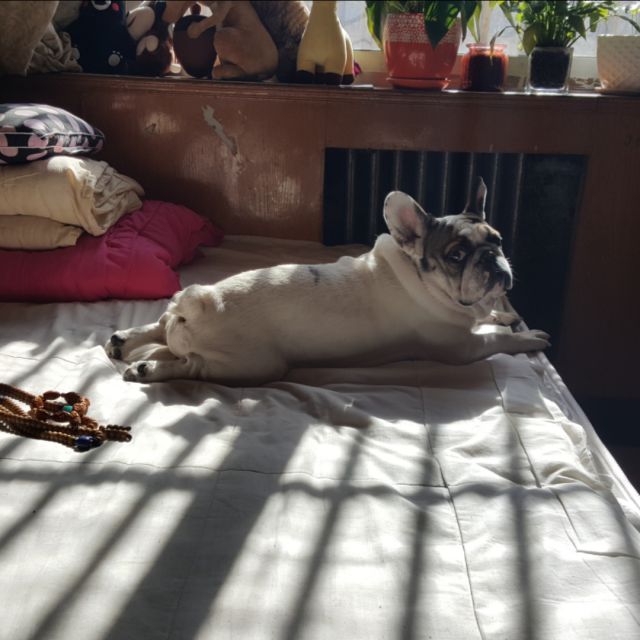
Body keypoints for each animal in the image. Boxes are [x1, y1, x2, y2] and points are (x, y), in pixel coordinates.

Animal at [105, 178, 550, 385]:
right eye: (457, 256)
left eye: (497, 240)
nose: (492, 260)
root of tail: (200, 304)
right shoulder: (460, 348)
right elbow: (496, 341)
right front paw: (526, 336)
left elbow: (489, 316)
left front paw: (505, 316)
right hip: (255, 364)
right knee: (191, 367)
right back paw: (149, 369)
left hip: (188, 321)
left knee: (162, 325)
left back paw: (125, 342)